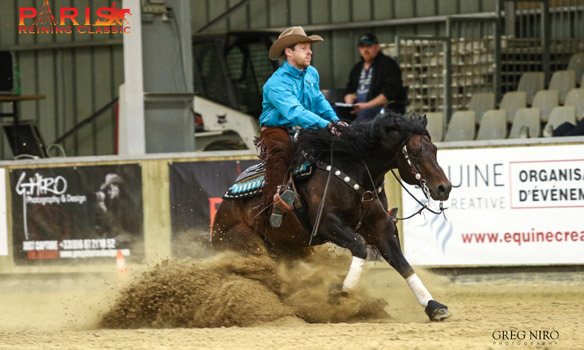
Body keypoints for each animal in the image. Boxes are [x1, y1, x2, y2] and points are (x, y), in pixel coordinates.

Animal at [212, 113, 454, 322]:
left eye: (434, 149)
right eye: (415, 152)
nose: (444, 188)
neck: (354, 172)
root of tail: (220, 215)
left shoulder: (381, 228)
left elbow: (403, 265)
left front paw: (434, 306)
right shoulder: (327, 224)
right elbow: (360, 249)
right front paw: (338, 292)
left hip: (289, 249)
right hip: (247, 245)